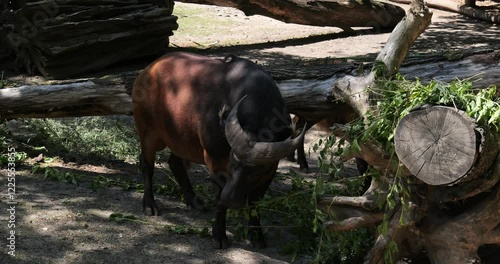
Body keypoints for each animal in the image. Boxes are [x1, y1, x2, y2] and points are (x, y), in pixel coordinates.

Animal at [133, 51, 304, 248]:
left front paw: (257, 236)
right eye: (232, 161)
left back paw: (194, 201)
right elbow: (219, 197)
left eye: (257, 170)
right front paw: (219, 235)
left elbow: (255, 203)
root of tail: (148, 70)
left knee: (175, 162)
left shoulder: (270, 171)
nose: (231, 198)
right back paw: (149, 205)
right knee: (147, 165)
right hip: (148, 133)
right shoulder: (214, 160)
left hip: (180, 137)